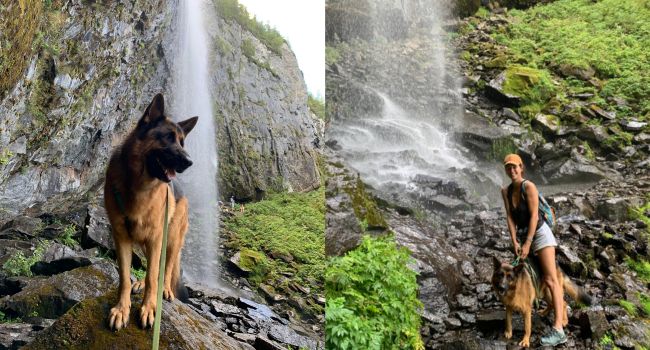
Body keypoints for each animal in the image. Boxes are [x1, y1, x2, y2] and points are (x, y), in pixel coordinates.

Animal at [104, 93, 197, 330]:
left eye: (182, 142)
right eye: (167, 137)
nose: (189, 162)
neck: (139, 187)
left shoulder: (156, 239)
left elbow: (153, 275)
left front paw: (149, 308)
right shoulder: (121, 237)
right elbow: (124, 276)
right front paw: (122, 309)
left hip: (170, 239)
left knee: (166, 268)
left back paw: (164, 290)